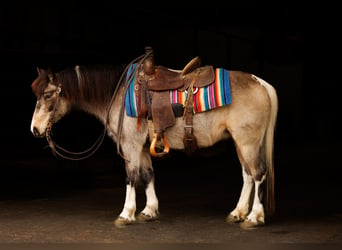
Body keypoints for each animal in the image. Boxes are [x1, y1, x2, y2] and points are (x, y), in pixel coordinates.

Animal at [30, 48, 278, 229]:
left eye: (48, 95)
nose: (35, 129)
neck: (118, 92)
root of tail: (262, 84)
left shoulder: (130, 145)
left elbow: (131, 177)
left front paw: (126, 213)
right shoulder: (141, 146)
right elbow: (148, 175)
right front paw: (149, 211)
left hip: (248, 142)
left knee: (258, 174)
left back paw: (254, 217)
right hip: (239, 142)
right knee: (247, 175)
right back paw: (238, 213)